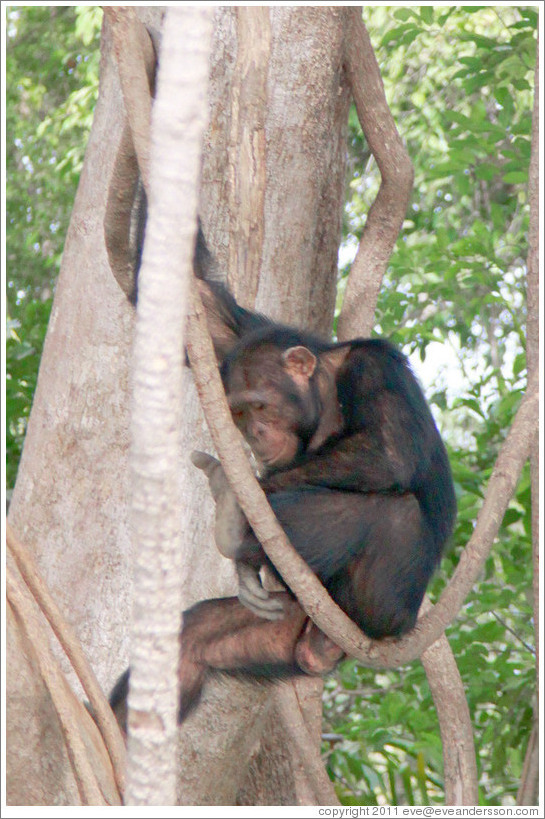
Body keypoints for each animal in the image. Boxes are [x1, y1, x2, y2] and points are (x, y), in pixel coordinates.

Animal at [108, 231, 456, 732]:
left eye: (261, 406)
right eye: (238, 412)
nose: (254, 433)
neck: (324, 390)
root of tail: (330, 647)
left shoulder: (374, 367)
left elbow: (388, 452)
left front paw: (247, 493)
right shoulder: (237, 340)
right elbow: (205, 305)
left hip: (381, 611)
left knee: (394, 510)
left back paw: (233, 523)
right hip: (287, 629)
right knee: (193, 639)